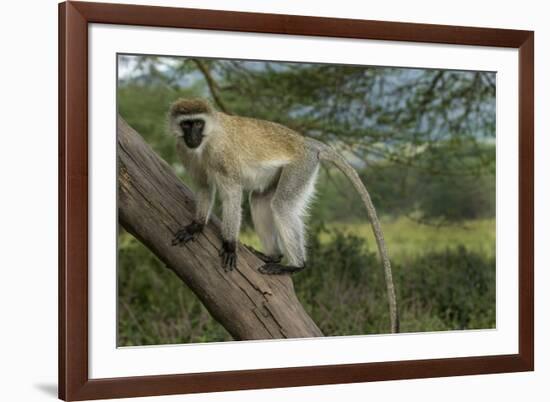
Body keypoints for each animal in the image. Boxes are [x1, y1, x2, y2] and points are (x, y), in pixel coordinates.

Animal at [170, 98, 398, 332]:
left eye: (198, 123)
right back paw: (273, 255)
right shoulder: (184, 151)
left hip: (300, 167)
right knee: (260, 199)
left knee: (282, 205)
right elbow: (204, 187)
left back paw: (295, 265)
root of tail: (304, 141)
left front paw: (230, 245)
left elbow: (232, 194)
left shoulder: (223, 155)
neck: (207, 140)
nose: (192, 137)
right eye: (186, 124)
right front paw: (196, 226)